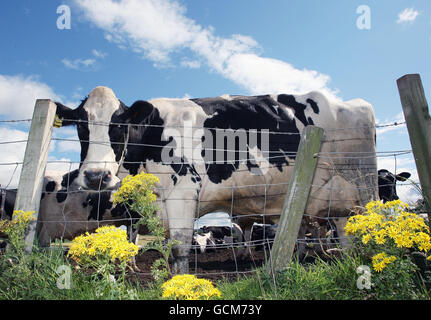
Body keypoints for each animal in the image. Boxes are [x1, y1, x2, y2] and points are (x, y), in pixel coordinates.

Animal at [54, 86, 378, 274]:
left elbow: (179, 250)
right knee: (345, 230)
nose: (96, 176)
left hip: (364, 186)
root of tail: (353, 103)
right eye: (80, 127)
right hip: (336, 196)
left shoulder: (184, 190)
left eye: (119, 125)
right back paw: (348, 261)